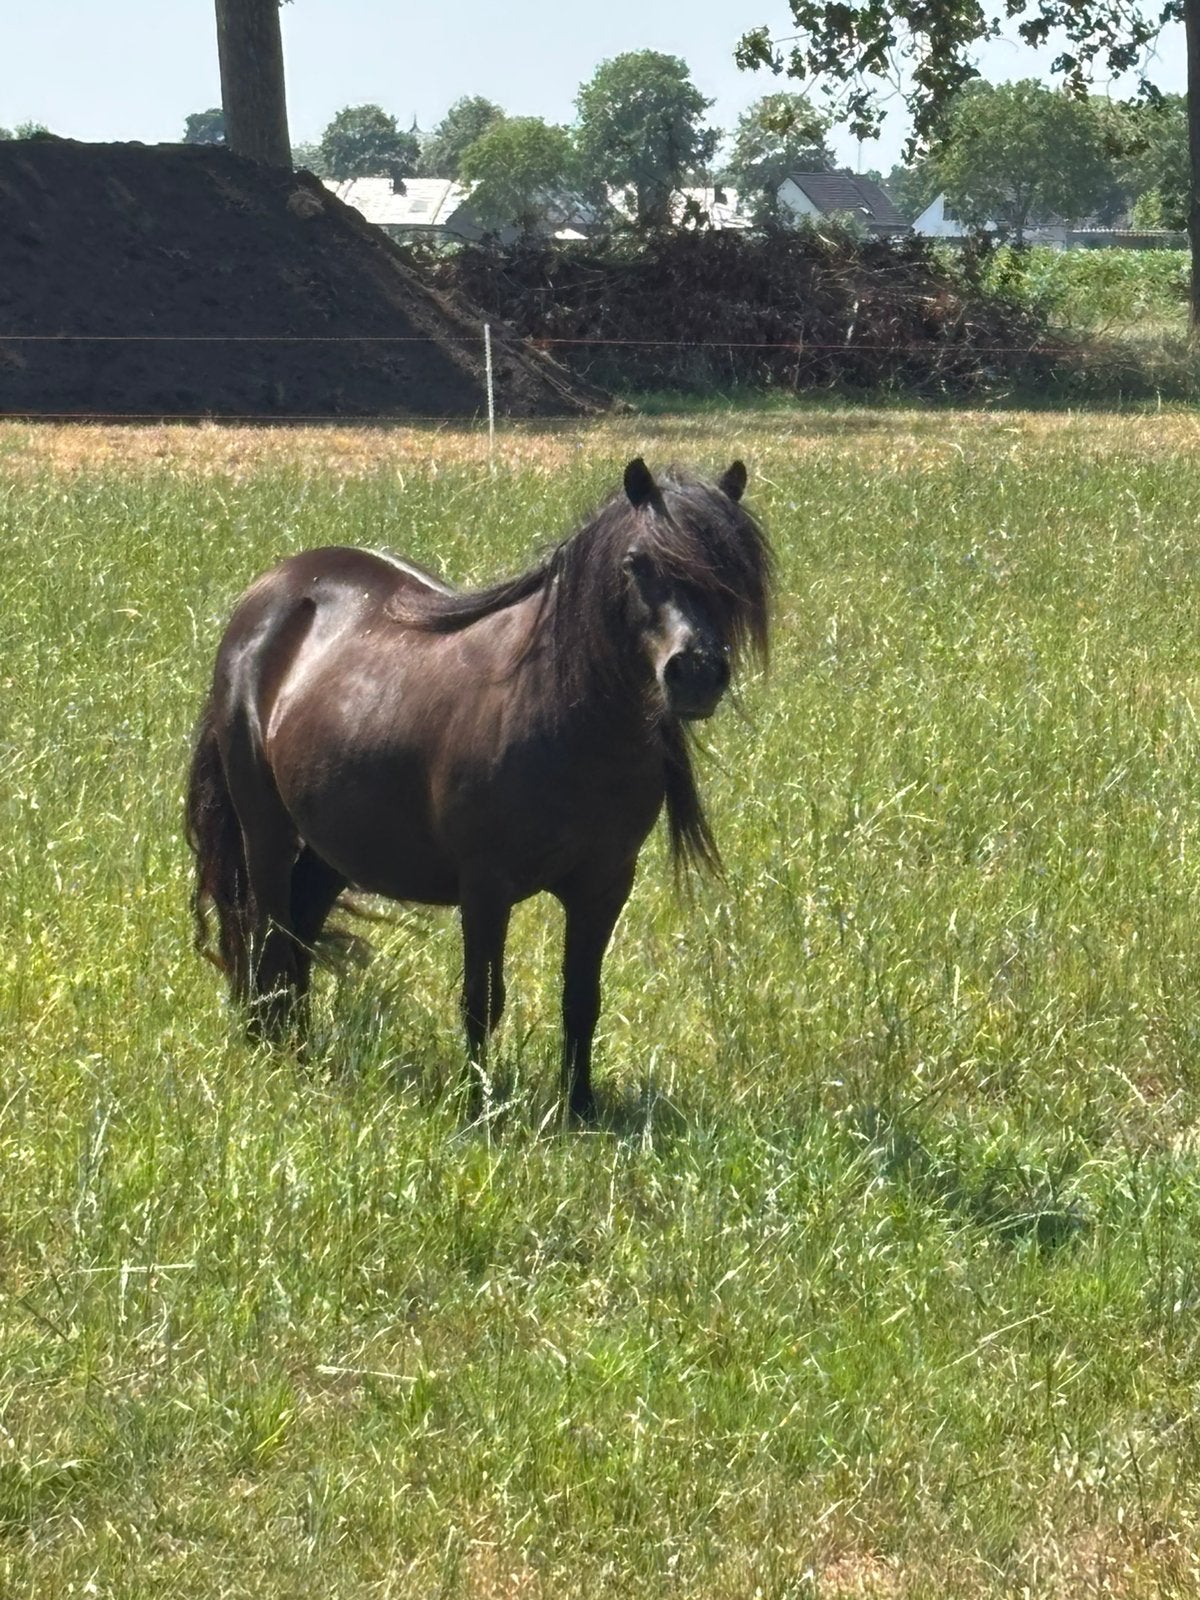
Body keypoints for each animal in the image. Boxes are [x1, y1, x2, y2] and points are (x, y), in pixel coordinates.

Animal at [185, 457, 772, 1120]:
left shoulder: (604, 886)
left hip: (338, 841)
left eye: (734, 567)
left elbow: (582, 999)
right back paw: (277, 1051)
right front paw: (479, 1110)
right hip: (266, 831)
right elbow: (482, 1000)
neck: (565, 716)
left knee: (300, 929)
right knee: (270, 933)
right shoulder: (486, 887)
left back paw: (297, 1045)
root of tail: (270, 594)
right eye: (637, 563)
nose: (695, 673)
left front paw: (580, 1109)